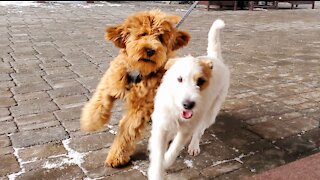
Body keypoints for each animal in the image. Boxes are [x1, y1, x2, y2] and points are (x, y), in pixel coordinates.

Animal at [79, 9, 190, 167]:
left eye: (160, 38)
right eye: (142, 34)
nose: (150, 50)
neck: (138, 71)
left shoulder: (139, 107)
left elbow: (127, 131)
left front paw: (117, 156)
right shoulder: (110, 83)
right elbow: (99, 103)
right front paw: (90, 122)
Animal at [148, 19, 230, 180]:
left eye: (200, 82)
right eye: (179, 79)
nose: (188, 105)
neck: (176, 108)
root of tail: (215, 58)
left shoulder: (186, 129)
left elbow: (174, 150)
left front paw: (166, 162)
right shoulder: (161, 126)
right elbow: (158, 154)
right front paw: (157, 171)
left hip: (210, 113)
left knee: (199, 130)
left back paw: (194, 146)